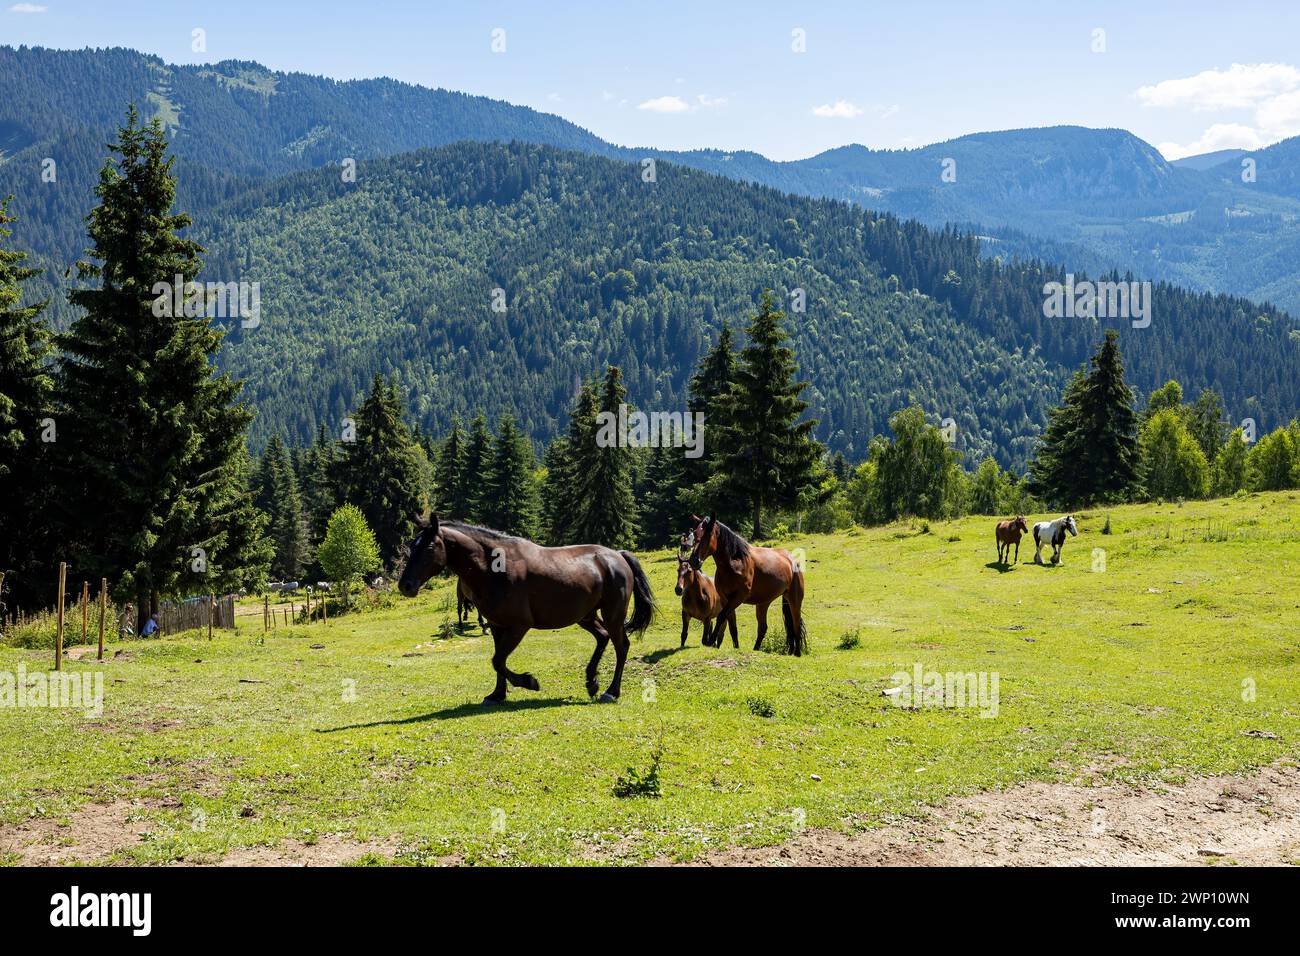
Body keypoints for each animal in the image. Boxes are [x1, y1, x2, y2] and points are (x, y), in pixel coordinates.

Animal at [397, 515, 656, 704]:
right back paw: (592, 682)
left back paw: (611, 691)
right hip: (585, 616)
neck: (494, 568)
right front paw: (497, 695)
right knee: (602, 637)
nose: (405, 585)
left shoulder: (519, 626)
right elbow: (497, 661)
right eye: (412, 545)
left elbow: (498, 660)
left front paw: (529, 682)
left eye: (430, 546)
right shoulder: (497, 625)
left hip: (612, 615)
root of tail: (617, 556)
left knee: (622, 646)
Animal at [684, 515, 806, 655]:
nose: (694, 560)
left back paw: (797, 653)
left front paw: (710, 641)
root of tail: (792, 559)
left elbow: (721, 617)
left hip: (794, 600)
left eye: (708, 535)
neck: (734, 563)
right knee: (764, 628)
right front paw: (736, 648)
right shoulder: (726, 599)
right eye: (695, 534)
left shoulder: (738, 597)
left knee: (796, 624)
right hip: (763, 603)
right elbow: (732, 627)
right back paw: (758, 649)